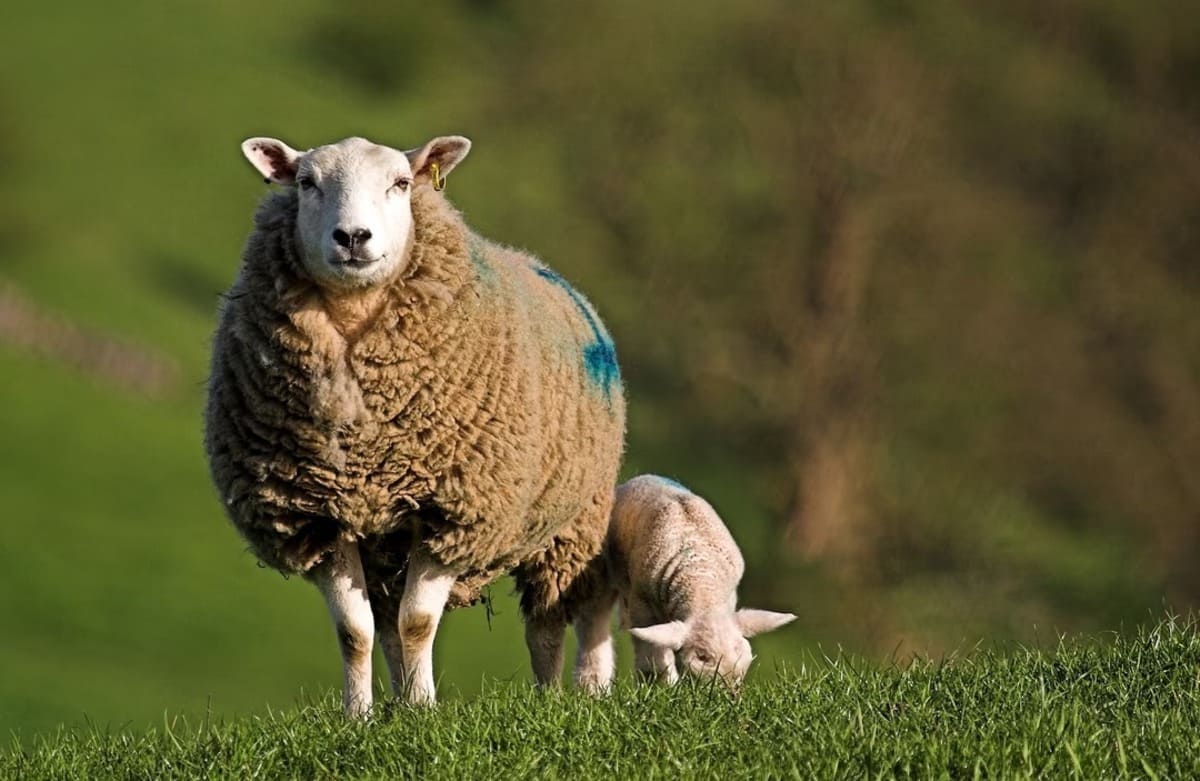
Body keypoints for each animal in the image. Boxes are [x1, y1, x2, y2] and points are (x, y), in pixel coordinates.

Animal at [204, 135, 625, 713]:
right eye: (307, 183)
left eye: (401, 183)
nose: (353, 237)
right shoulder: (319, 515)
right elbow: (355, 632)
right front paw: (360, 716)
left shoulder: (452, 510)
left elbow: (420, 622)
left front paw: (424, 710)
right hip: (387, 549)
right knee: (388, 626)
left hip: (573, 523)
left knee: (556, 618)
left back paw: (567, 695)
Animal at [584, 474, 796, 689]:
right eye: (702, 657)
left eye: (739, 650)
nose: (730, 692)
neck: (700, 579)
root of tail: (644, 477)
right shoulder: (640, 603)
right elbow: (650, 655)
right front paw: (659, 686)